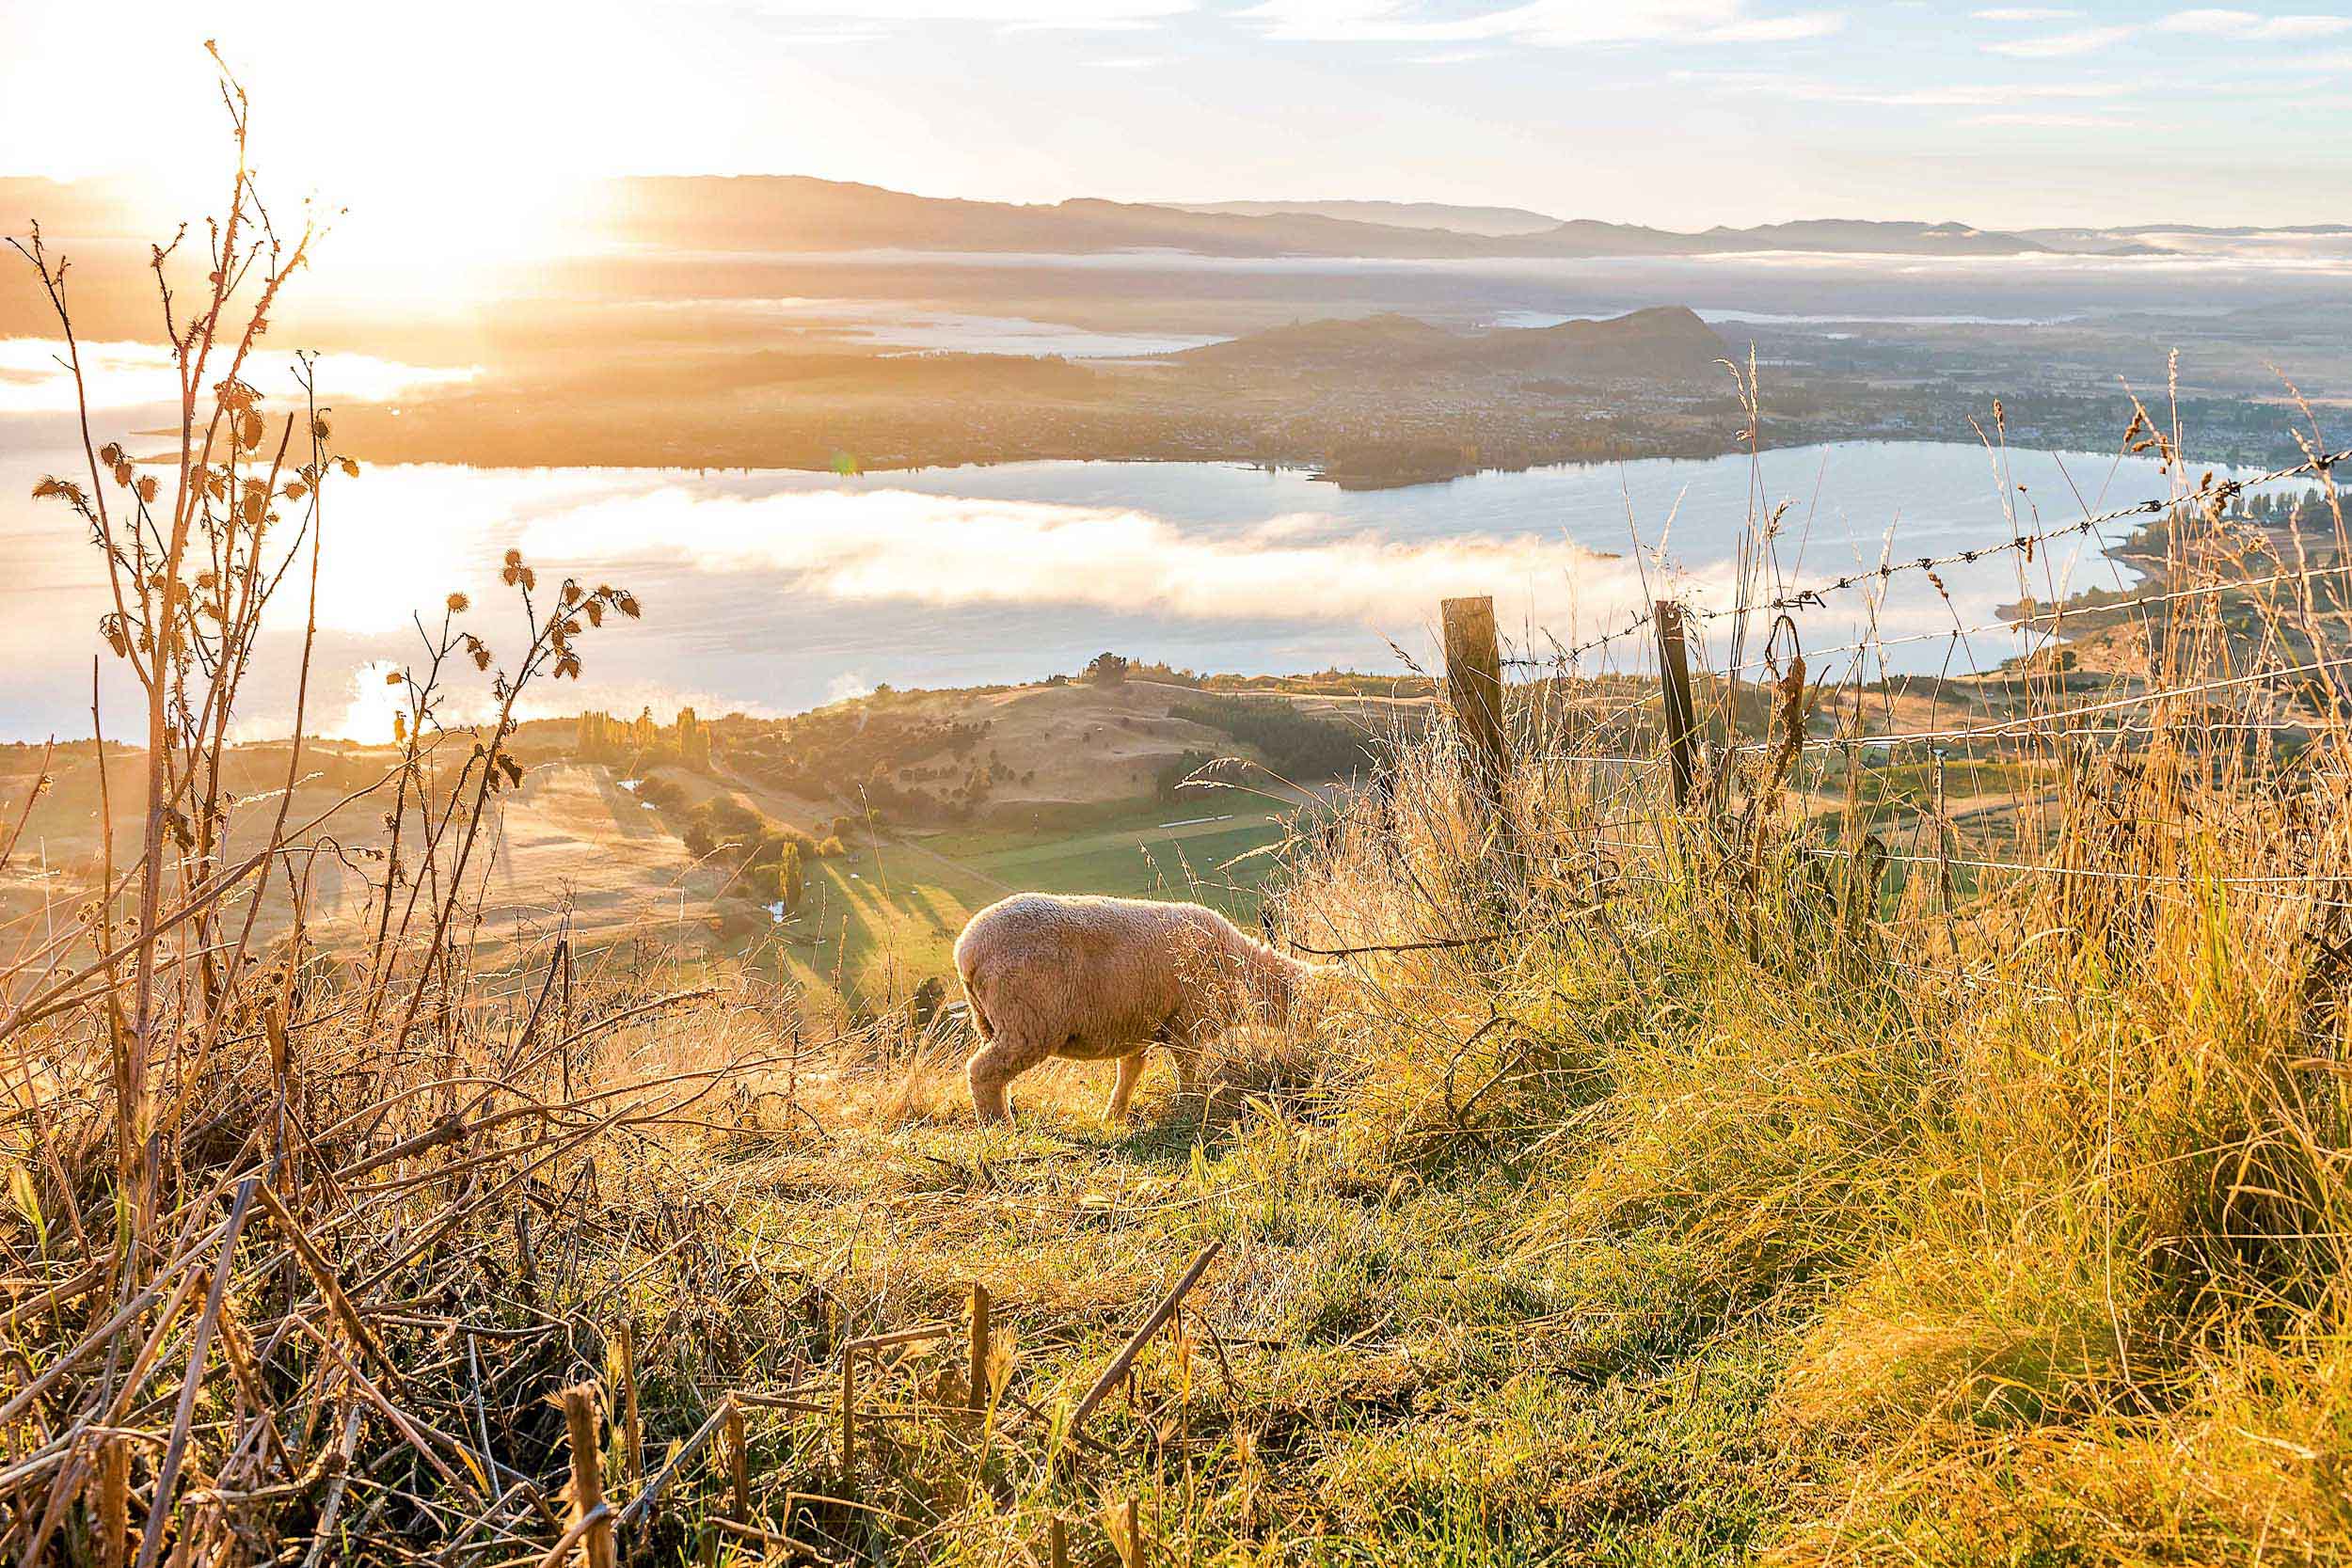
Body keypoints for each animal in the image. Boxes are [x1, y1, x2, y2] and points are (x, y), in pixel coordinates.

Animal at [950, 893, 1327, 1128]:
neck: (1243, 970)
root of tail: (967, 950)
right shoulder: (1187, 1022)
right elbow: (1186, 1068)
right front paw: (1190, 1104)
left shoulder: (1138, 1026)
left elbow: (1130, 1071)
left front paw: (1113, 1116)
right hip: (1028, 1020)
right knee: (982, 1070)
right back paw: (999, 1126)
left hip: (992, 1021)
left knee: (995, 1071)